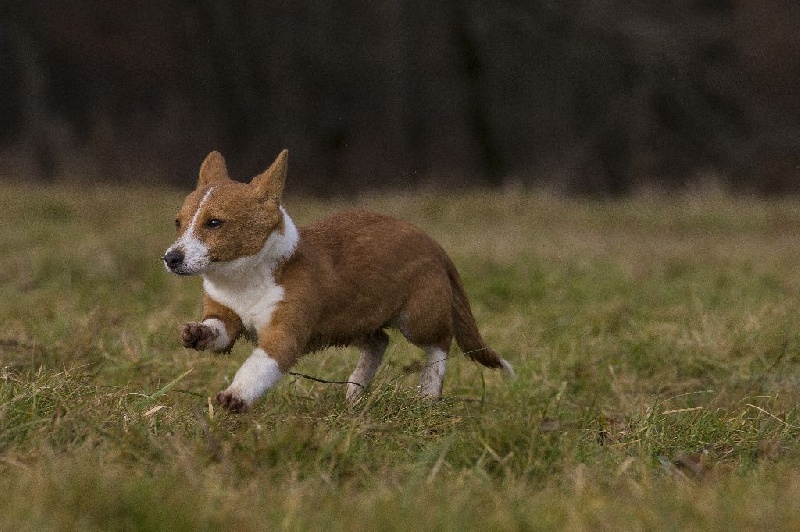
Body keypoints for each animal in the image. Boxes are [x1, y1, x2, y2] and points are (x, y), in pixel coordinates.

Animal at [163, 150, 513, 412]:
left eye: (214, 223)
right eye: (178, 223)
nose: (171, 258)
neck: (244, 280)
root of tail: (433, 243)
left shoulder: (284, 335)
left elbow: (258, 365)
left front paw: (236, 396)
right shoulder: (225, 316)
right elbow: (217, 331)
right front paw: (195, 333)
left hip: (417, 318)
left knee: (440, 343)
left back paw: (428, 393)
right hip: (350, 322)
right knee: (378, 342)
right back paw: (355, 392)